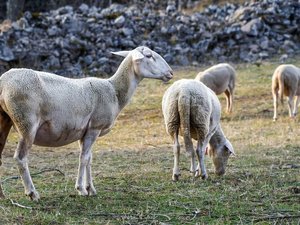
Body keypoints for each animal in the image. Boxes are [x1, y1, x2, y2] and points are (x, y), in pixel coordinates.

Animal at [0, 45, 173, 200]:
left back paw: (2, 195)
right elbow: (83, 158)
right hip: (26, 122)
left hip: (5, 120)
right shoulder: (95, 127)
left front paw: (90, 188)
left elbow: (89, 158)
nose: (170, 73)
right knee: (20, 158)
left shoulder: (84, 131)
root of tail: (4, 81)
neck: (114, 92)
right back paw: (32, 193)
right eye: (149, 56)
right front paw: (81, 189)